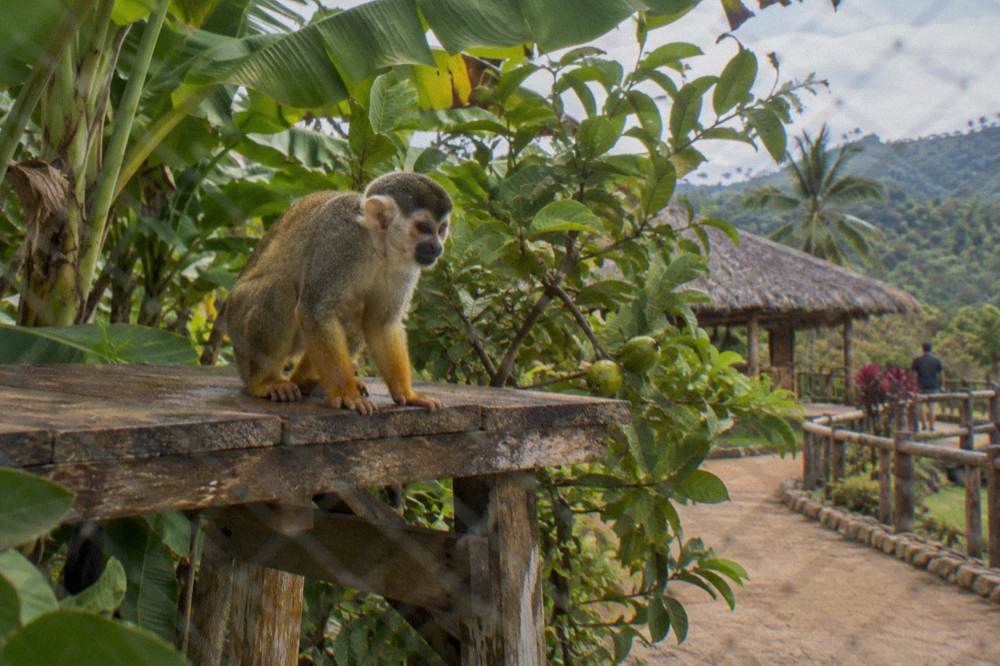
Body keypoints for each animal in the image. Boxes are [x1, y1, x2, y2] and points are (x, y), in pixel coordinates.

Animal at [223, 172, 451, 414]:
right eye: (423, 227)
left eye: (441, 229)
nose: (437, 248)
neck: (378, 245)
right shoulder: (339, 242)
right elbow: (314, 313)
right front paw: (346, 395)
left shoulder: (405, 266)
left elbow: (381, 323)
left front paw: (408, 395)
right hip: (237, 323)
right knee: (279, 288)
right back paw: (264, 382)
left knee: (354, 315)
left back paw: (305, 381)